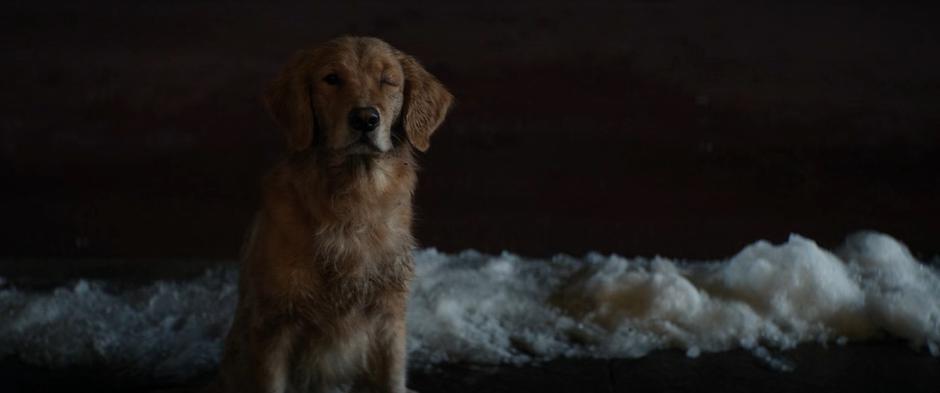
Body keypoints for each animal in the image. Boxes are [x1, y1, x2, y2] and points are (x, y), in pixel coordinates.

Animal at [211, 35, 454, 390]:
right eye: (332, 79)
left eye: (388, 80)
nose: (365, 118)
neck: (354, 200)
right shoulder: (273, 324)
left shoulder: (389, 318)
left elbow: (393, 378)